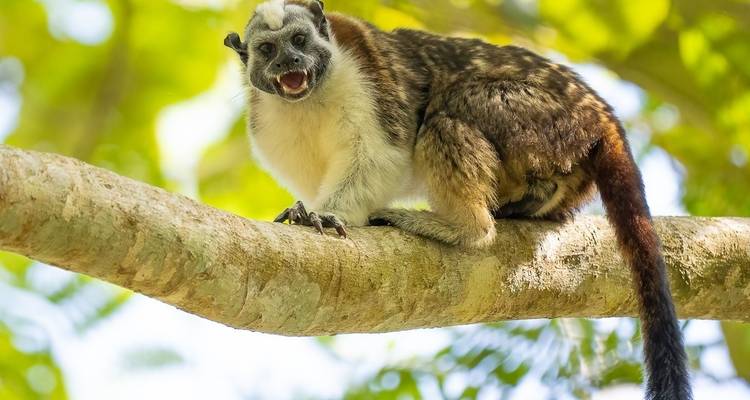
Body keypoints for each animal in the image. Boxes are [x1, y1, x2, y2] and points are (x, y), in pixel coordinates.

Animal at [224, 1, 691, 398]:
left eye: (300, 41)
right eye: (268, 50)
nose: (290, 63)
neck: (310, 100)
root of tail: (599, 113)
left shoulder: (363, 79)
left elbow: (378, 155)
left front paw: (324, 215)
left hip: (543, 120)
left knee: (448, 111)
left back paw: (466, 226)